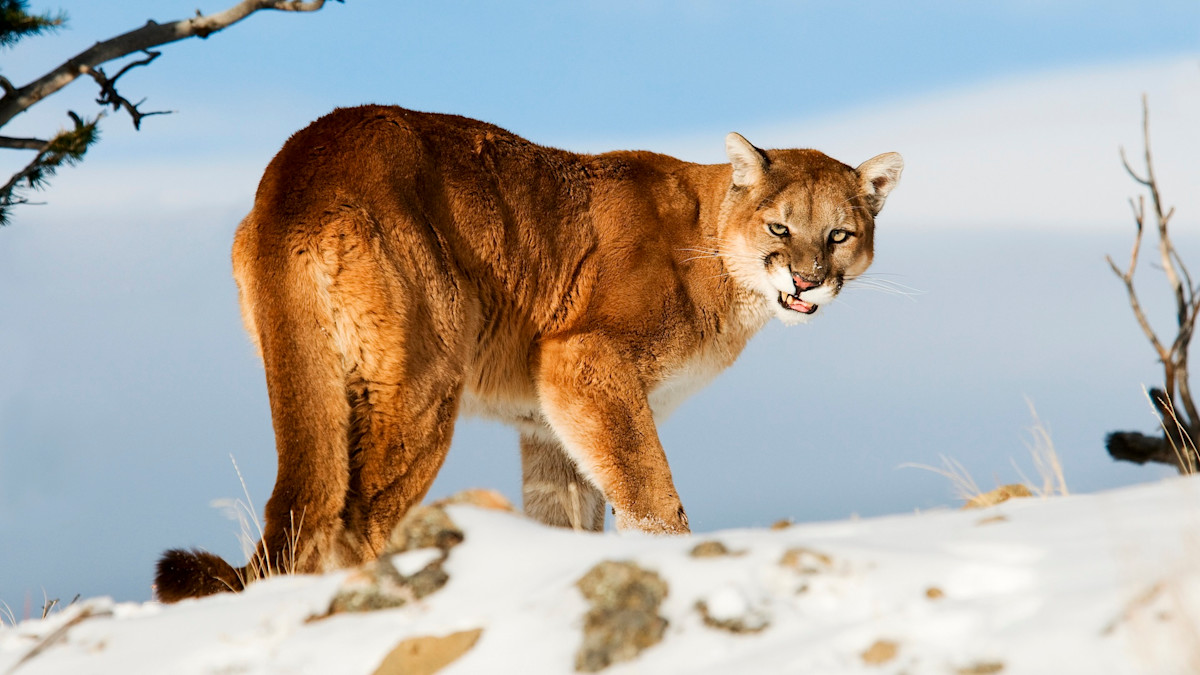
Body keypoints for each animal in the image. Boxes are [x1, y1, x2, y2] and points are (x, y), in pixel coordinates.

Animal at [155, 105, 902, 601]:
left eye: (839, 234)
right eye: (780, 227)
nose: (806, 278)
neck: (716, 244)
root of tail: (298, 165)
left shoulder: (547, 418)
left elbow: (571, 511)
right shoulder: (583, 360)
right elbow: (650, 493)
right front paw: (678, 558)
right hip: (419, 382)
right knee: (357, 516)